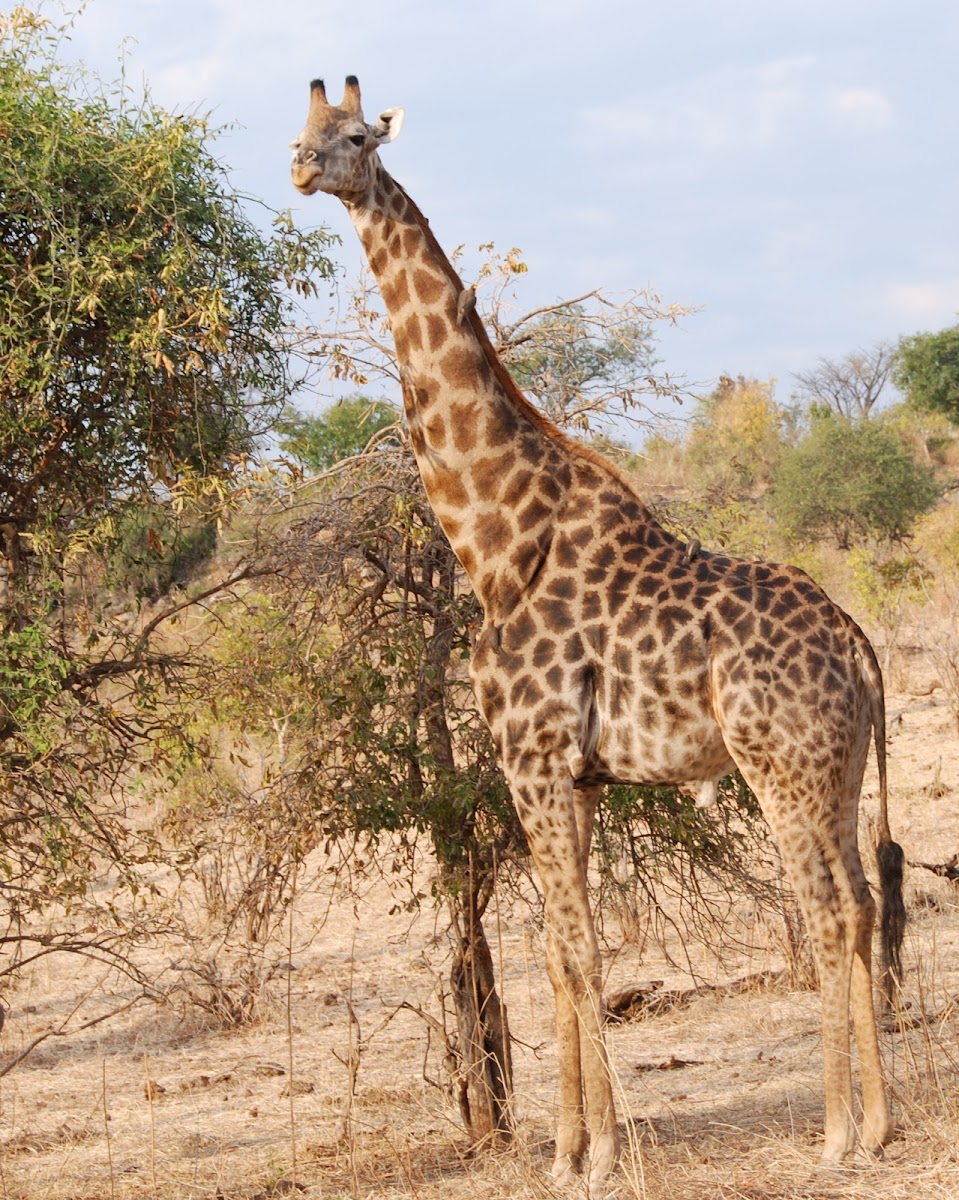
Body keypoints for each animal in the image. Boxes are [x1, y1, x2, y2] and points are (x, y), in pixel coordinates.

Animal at [289, 79, 902, 1195]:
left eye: (355, 135)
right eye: (300, 130)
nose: (304, 169)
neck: (494, 539)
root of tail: (856, 645)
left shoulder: (531, 761)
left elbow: (576, 953)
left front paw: (601, 1151)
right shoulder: (567, 776)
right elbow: (556, 953)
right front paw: (567, 1148)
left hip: (778, 766)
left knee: (828, 910)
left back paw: (839, 1134)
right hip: (835, 770)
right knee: (864, 905)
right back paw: (877, 1125)